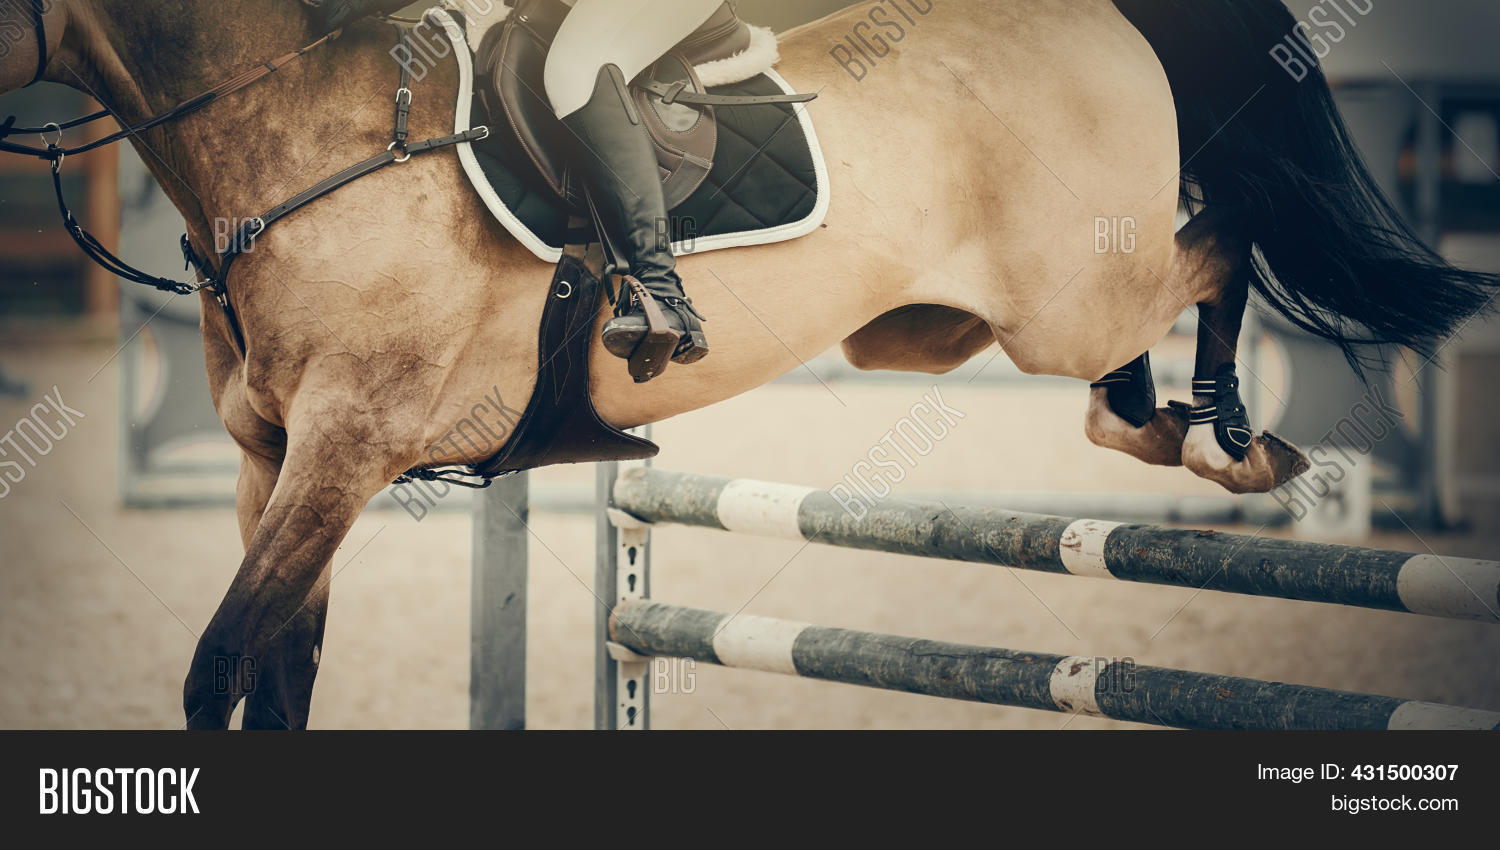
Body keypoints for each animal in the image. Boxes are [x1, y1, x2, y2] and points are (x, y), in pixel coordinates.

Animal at [5, 0, 1493, 729]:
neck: (312, 137)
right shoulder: (276, 464)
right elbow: (269, 677)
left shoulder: (347, 451)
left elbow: (218, 669)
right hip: (936, 325)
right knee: (1131, 353)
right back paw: (1173, 424)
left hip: (1068, 289)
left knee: (1221, 240)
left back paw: (1228, 430)